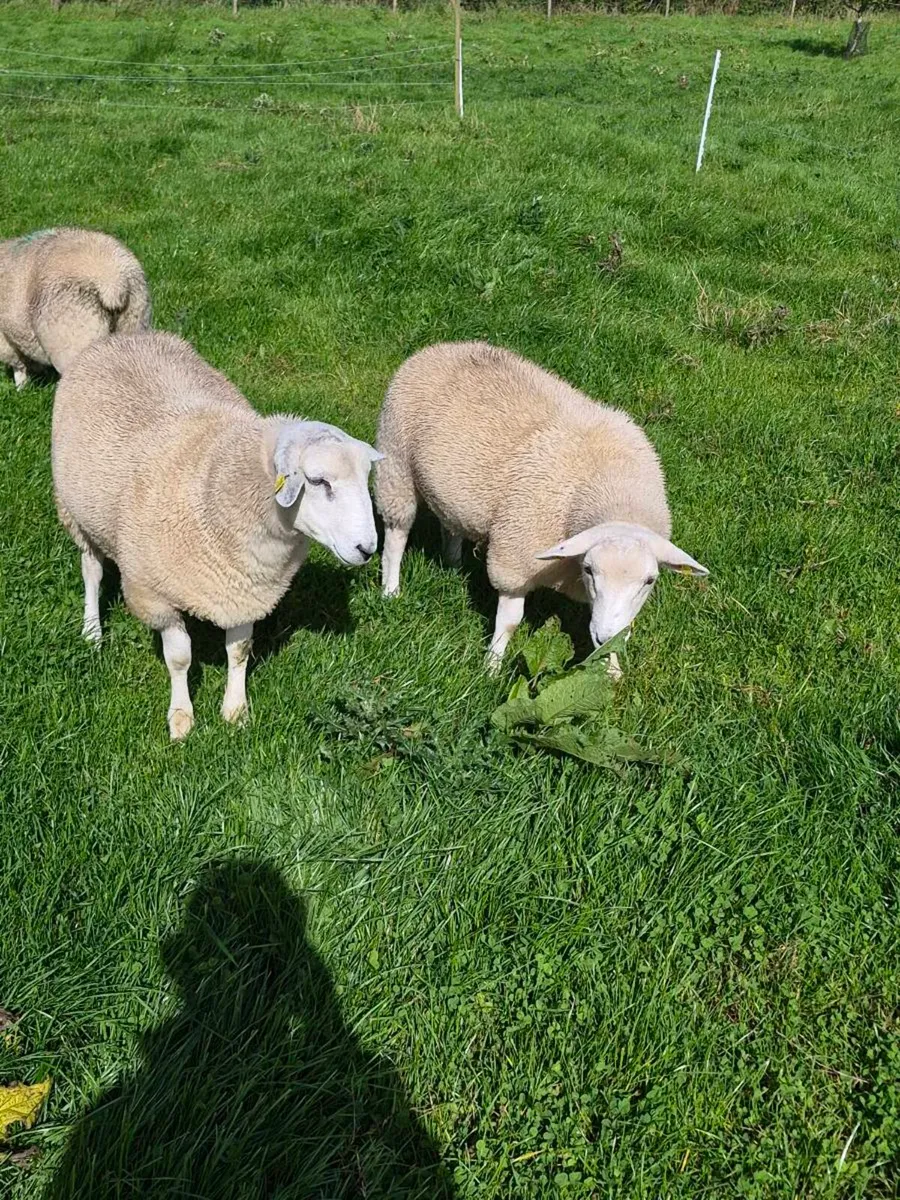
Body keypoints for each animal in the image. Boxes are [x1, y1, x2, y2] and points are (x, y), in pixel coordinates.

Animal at [0, 227, 151, 388]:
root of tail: (113, 282)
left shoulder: (6, 341)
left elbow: (18, 368)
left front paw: (20, 388)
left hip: (75, 337)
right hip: (135, 319)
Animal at [52, 331, 380, 739]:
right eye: (319, 481)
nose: (367, 548)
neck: (214, 487)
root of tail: (126, 337)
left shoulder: (245, 589)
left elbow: (238, 651)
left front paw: (236, 711)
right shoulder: (156, 596)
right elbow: (179, 657)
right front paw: (181, 718)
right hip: (76, 515)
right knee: (92, 571)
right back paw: (93, 630)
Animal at [375, 341, 708, 674]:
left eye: (649, 580)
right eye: (590, 569)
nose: (604, 635)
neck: (616, 499)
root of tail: (445, 347)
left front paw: (611, 669)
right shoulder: (514, 562)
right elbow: (509, 622)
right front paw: (491, 667)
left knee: (451, 523)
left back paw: (453, 563)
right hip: (395, 463)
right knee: (396, 536)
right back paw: (391, 590)